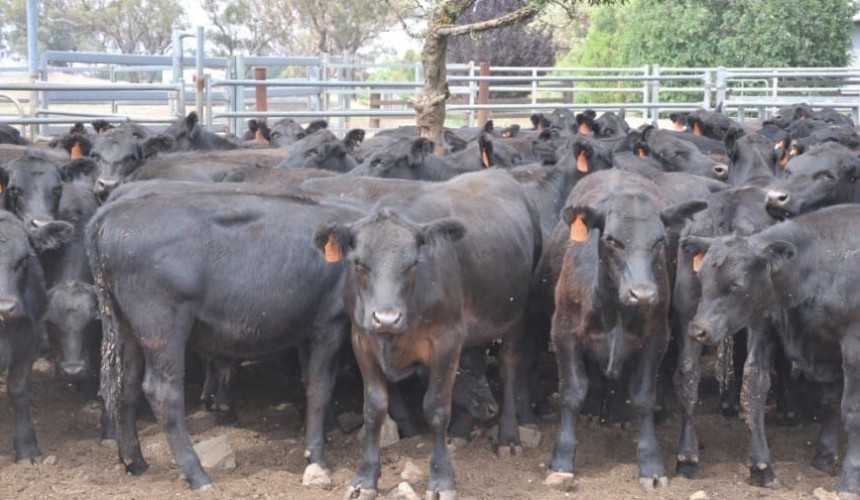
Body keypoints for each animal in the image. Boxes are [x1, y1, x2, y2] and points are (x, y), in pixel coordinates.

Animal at [88, 185, 368, 490]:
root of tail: (110, 214)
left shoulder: (308, 330)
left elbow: (309, 383)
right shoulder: (329, 324)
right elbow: (320, 388)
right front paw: (317, 457)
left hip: (126, 326)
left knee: (125, 386)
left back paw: (134, 462)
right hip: (161, 326)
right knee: (162, 392)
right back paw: (197, 474)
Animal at [314, 169, 540, 499]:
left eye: (413, 264)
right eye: (359, 263)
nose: (386, 317)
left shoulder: (447, 339)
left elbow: (436, 408)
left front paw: (442, 480)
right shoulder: (361, 338)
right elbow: (374, 409)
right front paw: (365, 478)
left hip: (517, 313)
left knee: (509, 367)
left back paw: (509, 438)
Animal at [543, 169, 705, 492]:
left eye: (659, 241)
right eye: (611, 240)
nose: (642, 294)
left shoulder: (657, 337)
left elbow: (643, 397)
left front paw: (651, 465)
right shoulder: (563, 331)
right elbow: (572, 392)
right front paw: (562, 461)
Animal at [684, 205, 860, 497]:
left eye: (736, 285)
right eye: (701, 278)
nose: (698, 330)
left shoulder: (852, 348)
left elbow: (852, 410)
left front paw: (850, 479)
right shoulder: (770, 329)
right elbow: (753, 392)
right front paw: (764, 466)